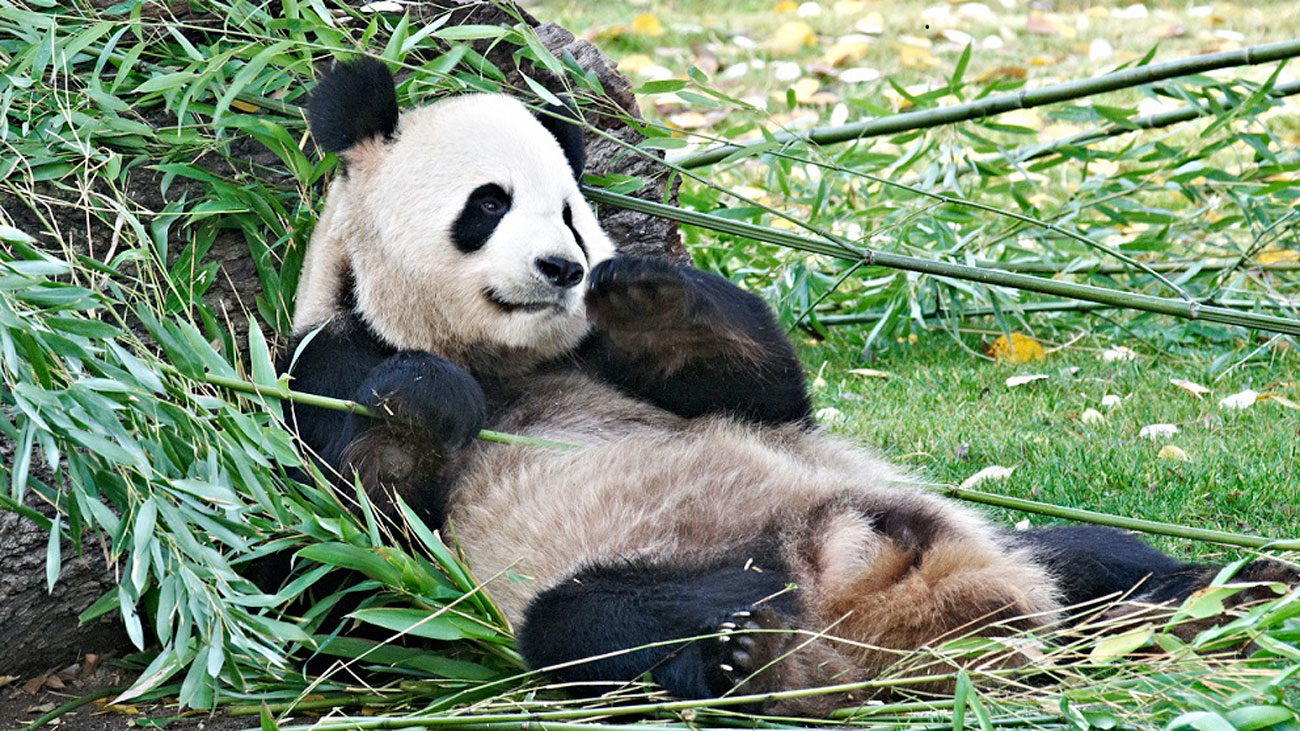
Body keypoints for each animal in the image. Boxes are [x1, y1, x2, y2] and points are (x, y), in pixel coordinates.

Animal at [281, 59, 1297, 716]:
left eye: (568, 209)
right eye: (487, 203)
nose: (562, 267)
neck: (513, 359)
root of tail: (879, 601)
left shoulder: (608, 358)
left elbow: (759, 388)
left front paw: (649, 291)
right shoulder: (324, 354)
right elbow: (353, 536)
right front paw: (425, 399)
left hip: (999, 541)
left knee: (1099, 559)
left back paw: (1239, 591)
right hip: (662, 565)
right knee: (596, 624)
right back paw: (743, 652)